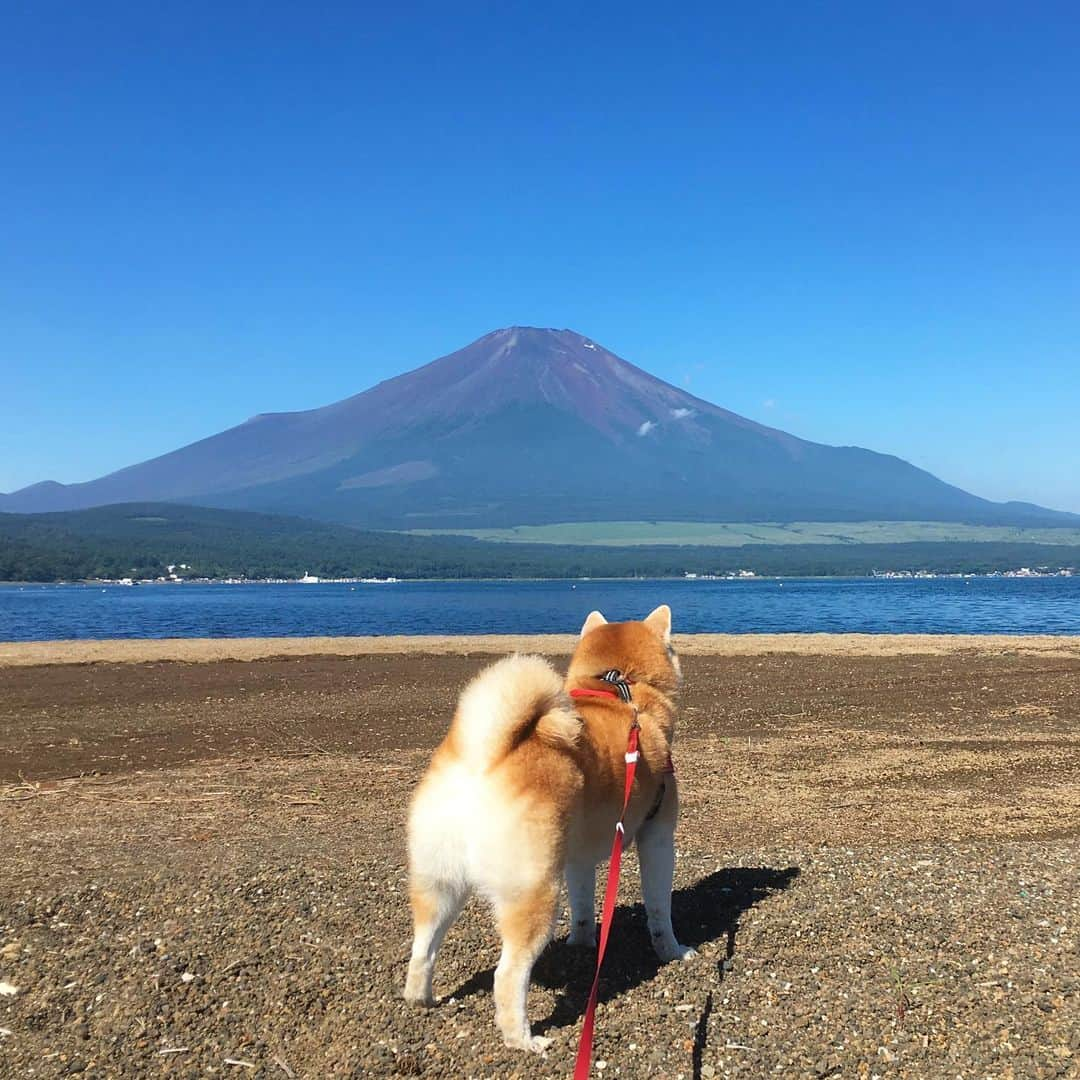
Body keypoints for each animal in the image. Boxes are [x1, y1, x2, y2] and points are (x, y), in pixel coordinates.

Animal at [403, 609, 691, 1054]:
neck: (619, 690)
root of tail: (483, 759)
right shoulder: (657, 838)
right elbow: (660, 910)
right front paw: (672, 951)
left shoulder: (577, 857)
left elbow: (584, 909)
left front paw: (583, 944)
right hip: (534, 890)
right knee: (507, 976)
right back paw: (523, 1039)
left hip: (440, 884)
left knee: (422, 951)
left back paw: (423, 998)